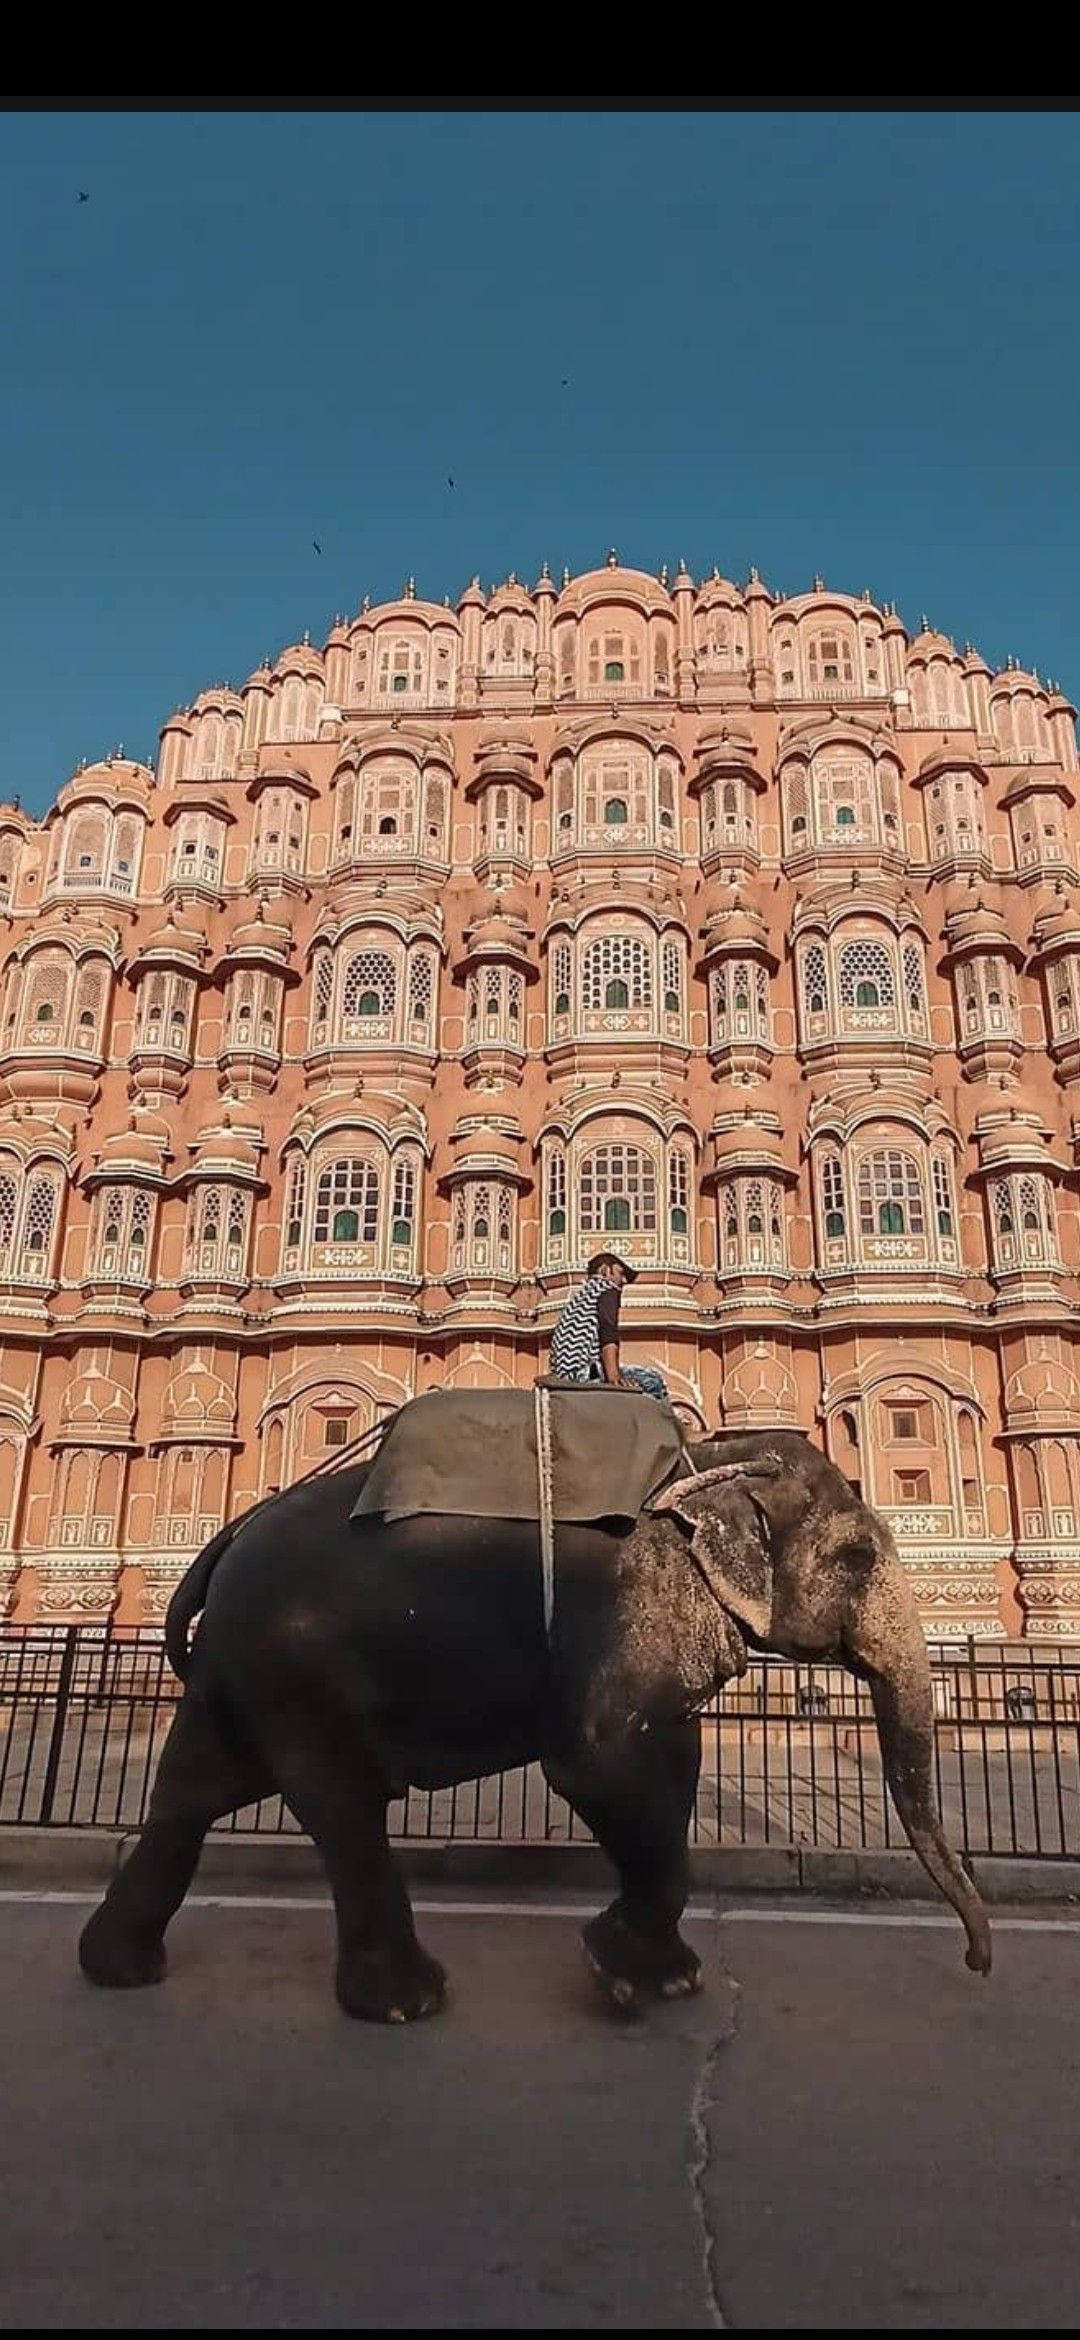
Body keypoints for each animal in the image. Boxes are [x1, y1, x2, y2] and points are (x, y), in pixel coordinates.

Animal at [77, 1425, 991, 2022]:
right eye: (857, 1558)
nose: (978, 1963)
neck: (711, 1463)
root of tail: (228, 1540)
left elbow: (671, 1757)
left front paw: (668, 1980)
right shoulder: (627, 1602)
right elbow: (599, 1763)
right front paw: (625, 1982)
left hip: (248, 1676)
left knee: (192, 1793)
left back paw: (119, 1971)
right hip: (296, 1670)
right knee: (340, 1805)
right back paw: (410, 2002)